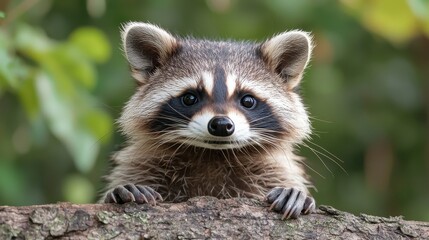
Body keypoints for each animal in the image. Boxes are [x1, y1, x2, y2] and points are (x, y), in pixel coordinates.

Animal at [100, 22, 314, 219]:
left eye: (248, 101)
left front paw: (294, 192)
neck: (213, 154)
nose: (221, 125)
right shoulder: (141, 163)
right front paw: (120, 191)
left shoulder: (274, 169)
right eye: (189, 98)